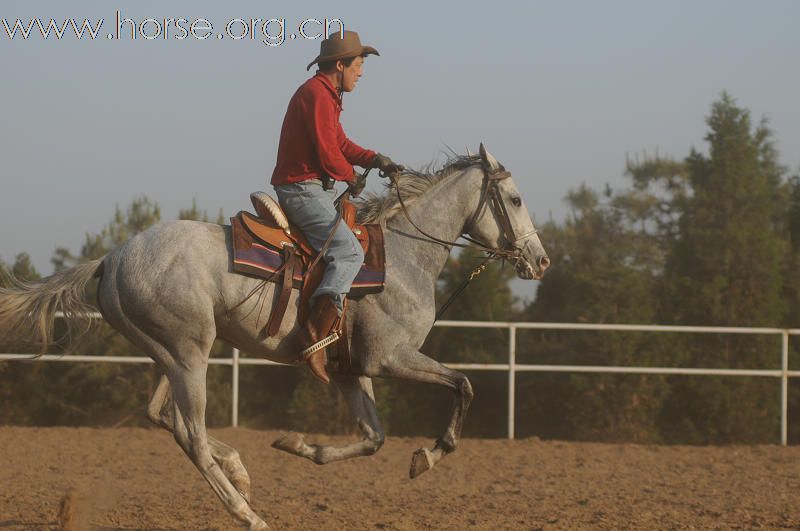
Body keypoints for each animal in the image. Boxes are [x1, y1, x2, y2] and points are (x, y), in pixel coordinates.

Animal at [0, 143, 552, 528]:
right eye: (516, 198)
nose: (540, 260)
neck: (402, 255)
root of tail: (112, 258)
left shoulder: (351, 370)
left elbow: (372, 438)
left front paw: (298, 445)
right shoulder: (389, 357)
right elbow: (464, 385)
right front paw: (428, 456)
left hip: (168, 354)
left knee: (165, 419)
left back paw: (240, 474)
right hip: (188, 355)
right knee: (191, 435)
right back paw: (247, 513)